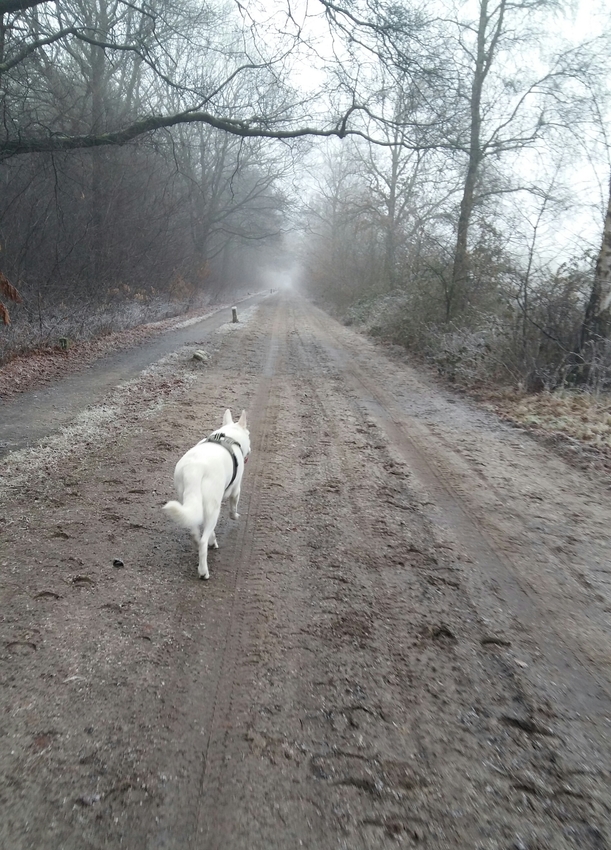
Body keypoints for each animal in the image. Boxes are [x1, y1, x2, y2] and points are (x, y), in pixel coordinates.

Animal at [163, 409, 250, 579]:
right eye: (249, 434)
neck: (229, 436)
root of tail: (194, 469)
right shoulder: (236, 489)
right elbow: (233, 507)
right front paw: (235, 516)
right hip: (213, 508)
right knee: (203, 541)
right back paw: (204, 571)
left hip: (188, 501)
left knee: (194, 532)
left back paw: (205, 541)